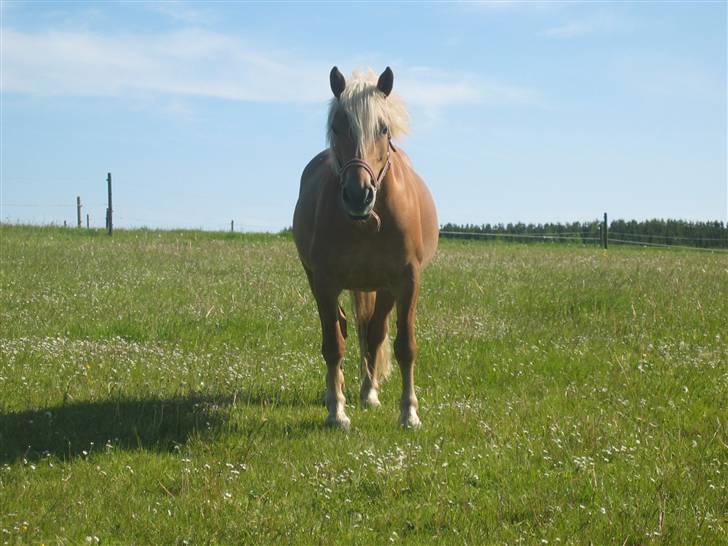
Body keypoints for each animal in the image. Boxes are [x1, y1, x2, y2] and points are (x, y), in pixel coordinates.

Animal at [292, 66, 438, 428]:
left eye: (383, 128)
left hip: (384, 289)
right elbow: (333, 344)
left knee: (374, 332)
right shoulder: (324, 281)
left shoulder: (407, 281)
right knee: (346, 328)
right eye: (336, 125)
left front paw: (409, 413)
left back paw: (369, 392)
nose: (359, 195)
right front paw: (336, 411)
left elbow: (404, 346)